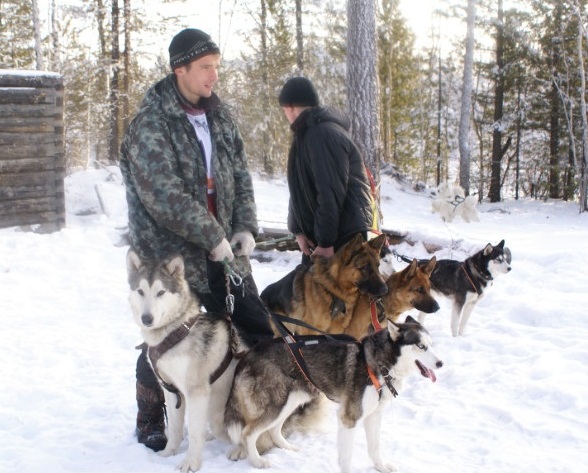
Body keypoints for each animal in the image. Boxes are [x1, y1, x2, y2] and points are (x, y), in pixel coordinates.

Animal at [125, 249, 245, 470]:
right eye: (140, 291)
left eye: (161, 292)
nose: (147, 319)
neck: (175, 332)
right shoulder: (171, 390)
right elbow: (174, 429)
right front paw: (167, 454)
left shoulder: (196, 392)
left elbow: (195, 434)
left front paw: (191, 463)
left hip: (219, 412)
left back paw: (240, 449)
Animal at [224, 316, 440, 470]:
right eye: (421, 346)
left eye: (431, 344)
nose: (440, 363)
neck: (378, 364)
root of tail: (249, 354)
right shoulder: (349, 418)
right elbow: (346, 457)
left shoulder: (374, 415)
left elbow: (375, 447)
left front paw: (381, 466)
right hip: (277, 404)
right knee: (248, 433)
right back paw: (257, 461)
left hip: (291, 400)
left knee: (273, 429)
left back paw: (288, 449)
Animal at [260, 234, 388, 334]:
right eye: (365, 267)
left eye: (378, 266)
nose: (385, 289)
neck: (334, 288)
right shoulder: (311, 330)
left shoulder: (336, 330)